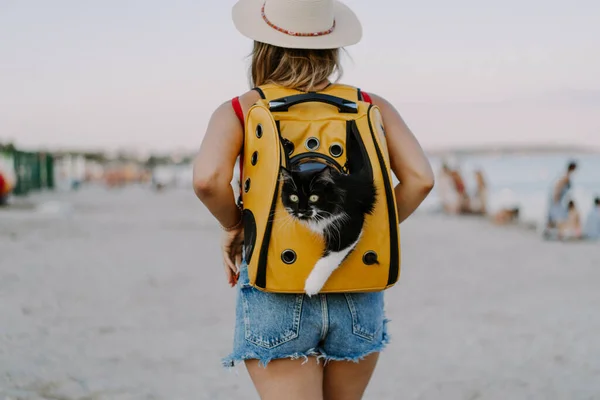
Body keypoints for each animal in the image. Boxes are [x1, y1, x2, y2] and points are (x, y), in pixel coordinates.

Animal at [280, 166, 376, 296]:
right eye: (294, 197)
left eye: (314, 197)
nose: (302, 210)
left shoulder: (350, 225)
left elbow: (330, 258)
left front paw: (312, 286)